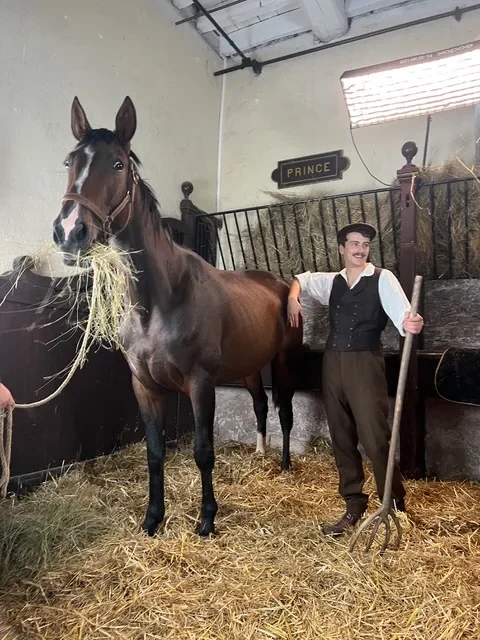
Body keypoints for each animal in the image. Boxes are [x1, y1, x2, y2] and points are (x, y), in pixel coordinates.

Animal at [52, 95, 304, 536]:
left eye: (118, 164)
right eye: (70, 161)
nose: (69, 231)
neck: (159, 301)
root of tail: (279, 282)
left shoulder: (200, 384)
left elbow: (204, 451)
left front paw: (207, 520)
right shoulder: (145, 386)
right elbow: (155, 453)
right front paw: (153, 518)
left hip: (282, 361)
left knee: (285, 412)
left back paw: (284, 464)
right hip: (250, 365)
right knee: (259, 406)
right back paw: (259, 454)